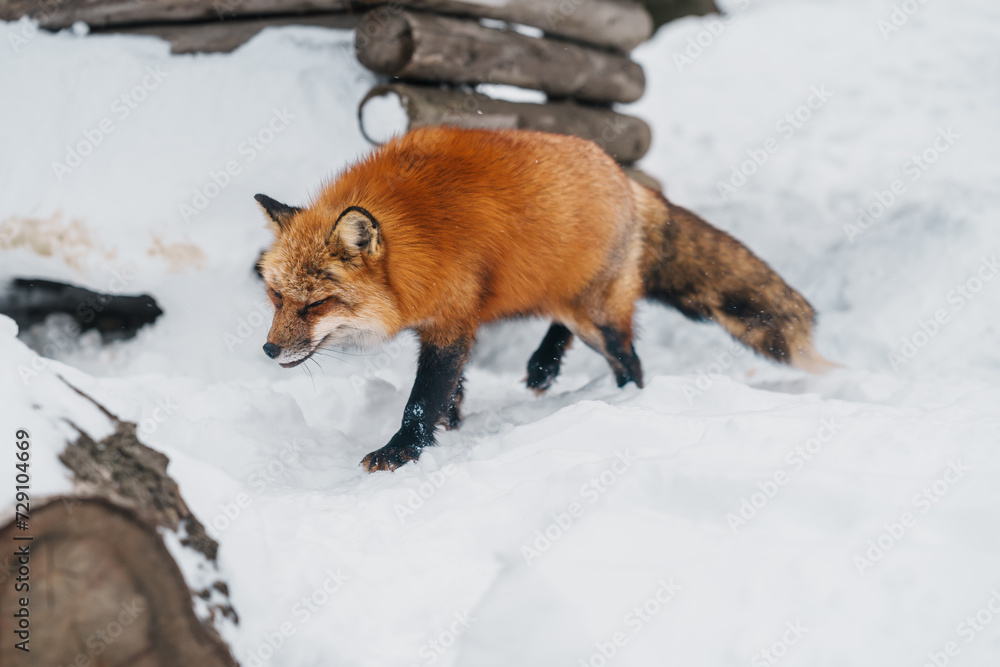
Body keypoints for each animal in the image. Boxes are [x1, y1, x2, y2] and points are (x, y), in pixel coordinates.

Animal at [255, 126, 831, 472]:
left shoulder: (450, 321)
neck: (419, 236)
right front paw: (450, 429)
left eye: (315, 305)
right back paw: (544, 365)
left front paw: (402, 451)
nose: (268, 350)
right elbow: (452, 391)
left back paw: (623, 404)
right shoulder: (455, 319)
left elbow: (423, 399)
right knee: (563, 326)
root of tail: (625, 177)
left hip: (598, 316)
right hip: (568, 298)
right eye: (276, 296)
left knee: (630, 360)